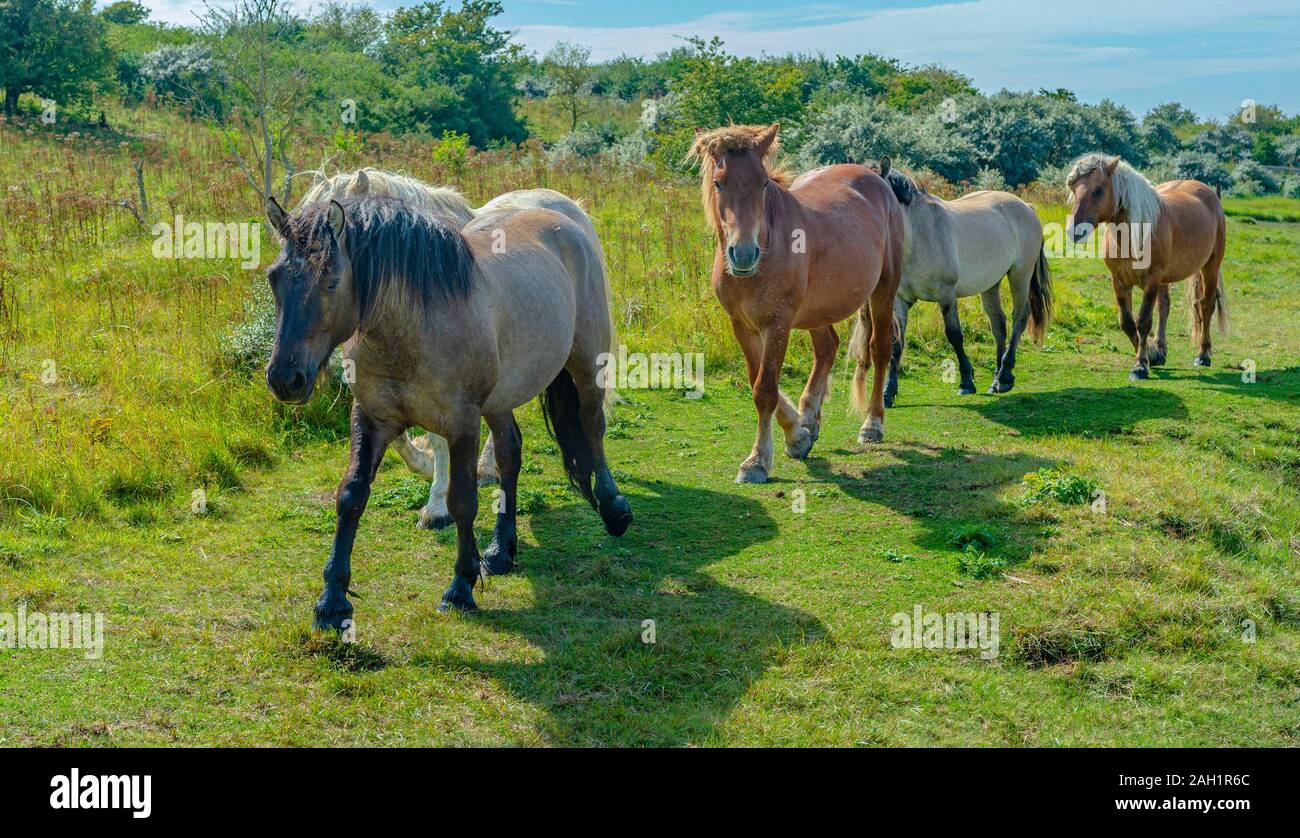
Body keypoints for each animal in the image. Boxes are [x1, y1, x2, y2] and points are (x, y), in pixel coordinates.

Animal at [691, 120, 904, 480]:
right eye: (719, 183)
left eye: (763, 183)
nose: (744, 254)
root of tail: (875, 178)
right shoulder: (741, 325)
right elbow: (759, 382)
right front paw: (797, 434)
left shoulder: (778, 323)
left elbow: (765, 389)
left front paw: (757, 461)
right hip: (818, 310)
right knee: (827, 348)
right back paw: (809, 418)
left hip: (883, 292)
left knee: (880, 349)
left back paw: (872, 424)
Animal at [863, 166, 1055, 402]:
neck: (917, 236)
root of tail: (1025, 207)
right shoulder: (900, 300)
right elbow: (897, 343)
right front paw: (888, 392)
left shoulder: (946, 295)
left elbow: (954, 335)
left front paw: (966, 381)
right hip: (990, 284)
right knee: (998, 324)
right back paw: (995, 381)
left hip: (1020, 274)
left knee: (1019, 316)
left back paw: (1005, 376)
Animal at [1066, 153, 1227, 379]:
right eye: (1073, 188)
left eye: (1098, 190)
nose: (1074, 230)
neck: (1133, 234)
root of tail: (1211, 194)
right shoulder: (1119, 281)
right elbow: (1127, 322)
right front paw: (1151, 354)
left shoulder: (1152, 280)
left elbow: (1143, 321)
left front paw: (1140, 366)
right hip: (1167, 279)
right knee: (1165, 306)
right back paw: (1161, 349)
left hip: (1210, 267)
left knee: (1206, 305)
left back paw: (1203, 355)